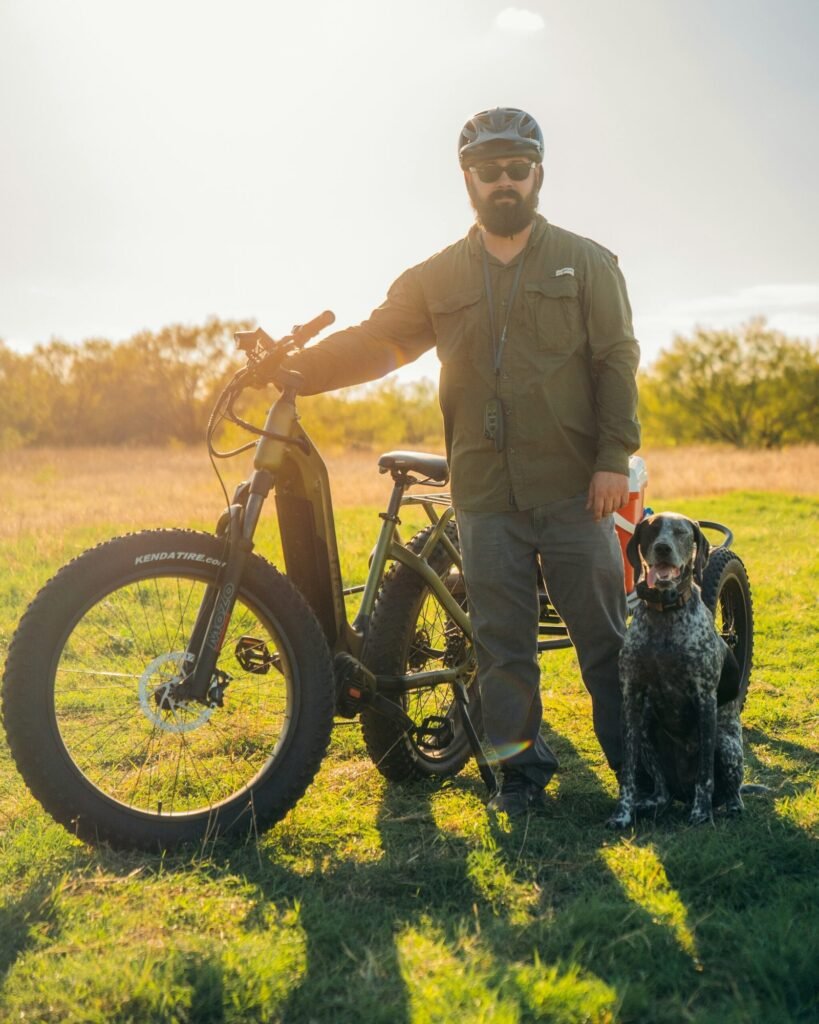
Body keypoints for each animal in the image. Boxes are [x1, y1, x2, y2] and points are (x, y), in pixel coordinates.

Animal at [606, 516, 745, 827]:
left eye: (681, 532)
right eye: (651, 531)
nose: (663, 548)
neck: (665, 613)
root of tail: (683, 793)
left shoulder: (705, 700)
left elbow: (705, 775)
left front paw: (701, 814)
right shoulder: (631, 700)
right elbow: (628, 774)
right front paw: (622, 814)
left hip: (726, 744)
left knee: (731, 790)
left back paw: (729, 807)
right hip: (647, 731)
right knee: (663, 792)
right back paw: (649, 804)